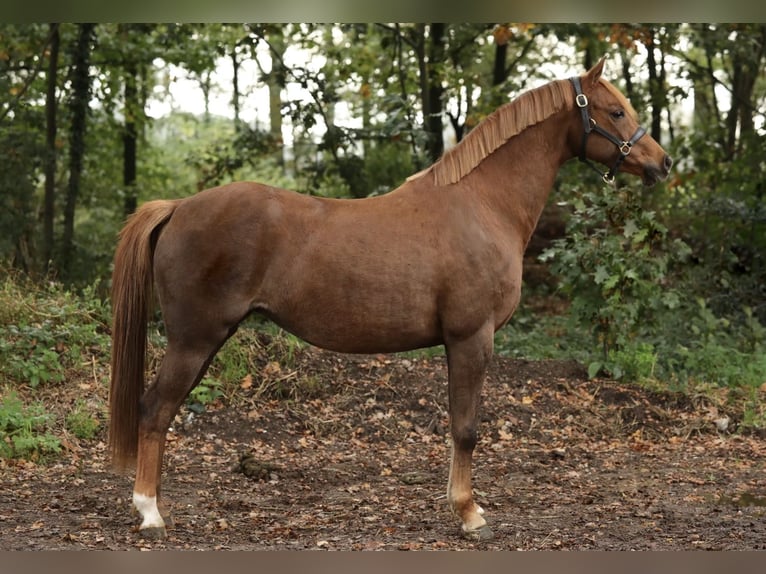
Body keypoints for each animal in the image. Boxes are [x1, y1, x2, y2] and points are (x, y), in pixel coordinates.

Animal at [108, 58, 672, 544]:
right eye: (616, 111)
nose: (661, 163)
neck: (483, 204)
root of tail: (179, 206)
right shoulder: (471, 338)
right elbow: (466, 428)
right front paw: (470, 515)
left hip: (206, 341)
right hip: (194, 340)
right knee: (154, 410)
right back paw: (150, 513)